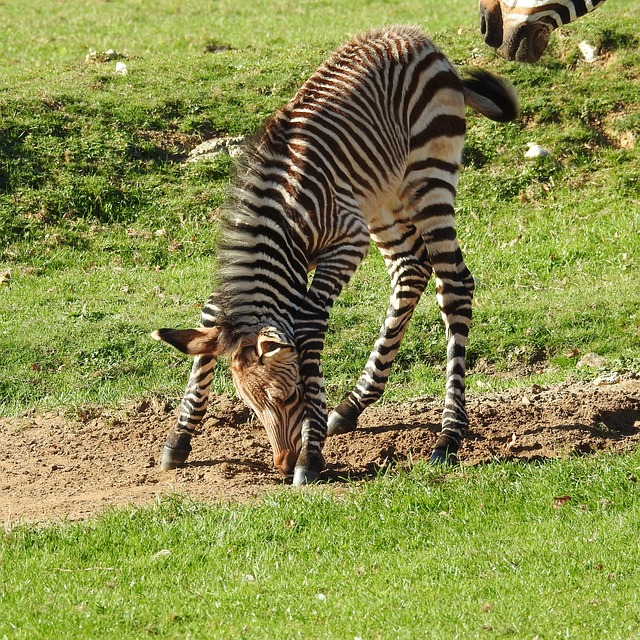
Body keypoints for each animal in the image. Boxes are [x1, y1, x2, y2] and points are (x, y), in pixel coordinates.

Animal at [154, 26, 520, 484]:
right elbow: (210, 316)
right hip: (383, 200)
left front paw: (310, 455)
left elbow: (310, 324)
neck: (285, 229)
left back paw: (448, 435)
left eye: (288, 394)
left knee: (454, 284)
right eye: (250, 405)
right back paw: (352, 407)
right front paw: (179, 437)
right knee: (411, 271)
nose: (281, 466)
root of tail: (419, 40)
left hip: (428, 179)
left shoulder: (347, 243)